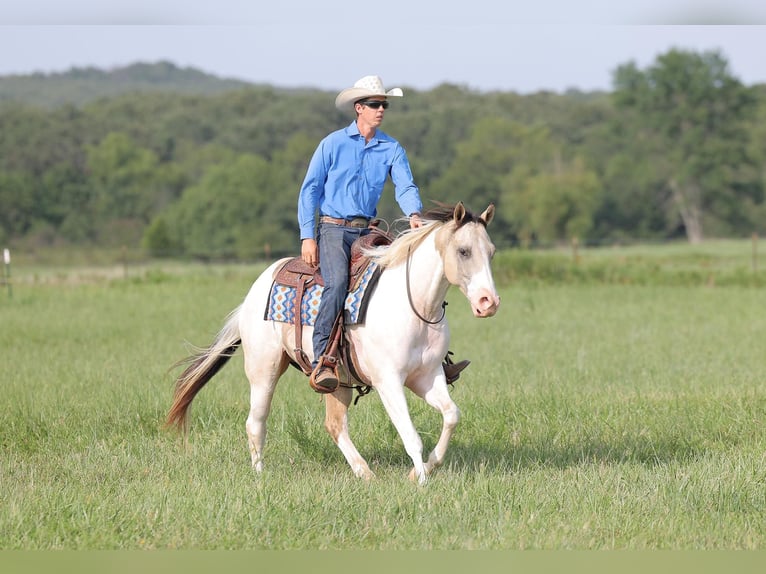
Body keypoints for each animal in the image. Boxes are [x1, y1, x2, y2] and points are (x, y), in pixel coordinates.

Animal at [167, 204, 500, 486]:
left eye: (492, 252)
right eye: (464, 251)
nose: (489, 302)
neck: (413, 306)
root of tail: (255, 291)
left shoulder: (427, 376)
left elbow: (451, 415)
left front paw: (426, 468)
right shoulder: (389, 381)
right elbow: (411, 435)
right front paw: (420, 481)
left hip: (335, 379)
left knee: (335, 425)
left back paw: (364, 473)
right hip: (264, 370)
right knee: (256, 421)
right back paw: (260, 474)